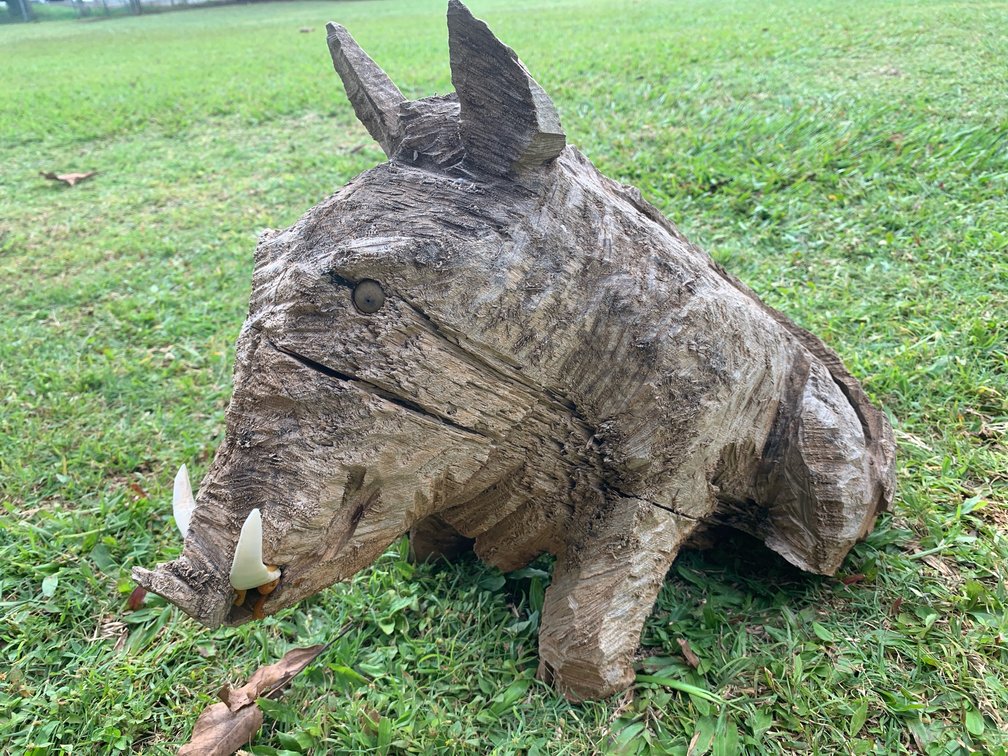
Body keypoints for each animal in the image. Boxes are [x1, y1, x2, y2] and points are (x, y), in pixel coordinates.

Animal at [134, 0, 895, 701]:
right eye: (260, 258)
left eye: (372, 296)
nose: (174, 587)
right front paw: (434, 564)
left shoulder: (673, 465)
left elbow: (596, 594)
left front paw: (591, 692)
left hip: (831, 482)